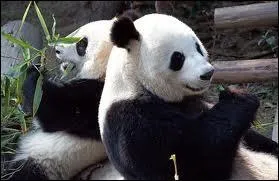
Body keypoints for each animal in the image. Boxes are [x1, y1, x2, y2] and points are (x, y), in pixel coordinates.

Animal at [98, 13, 278, 180]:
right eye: (178, 57)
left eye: (198, 47)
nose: (208, 73)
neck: (134, 81)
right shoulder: (133, 124)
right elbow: (192, 158)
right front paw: (238, 97)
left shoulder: (196, 102)